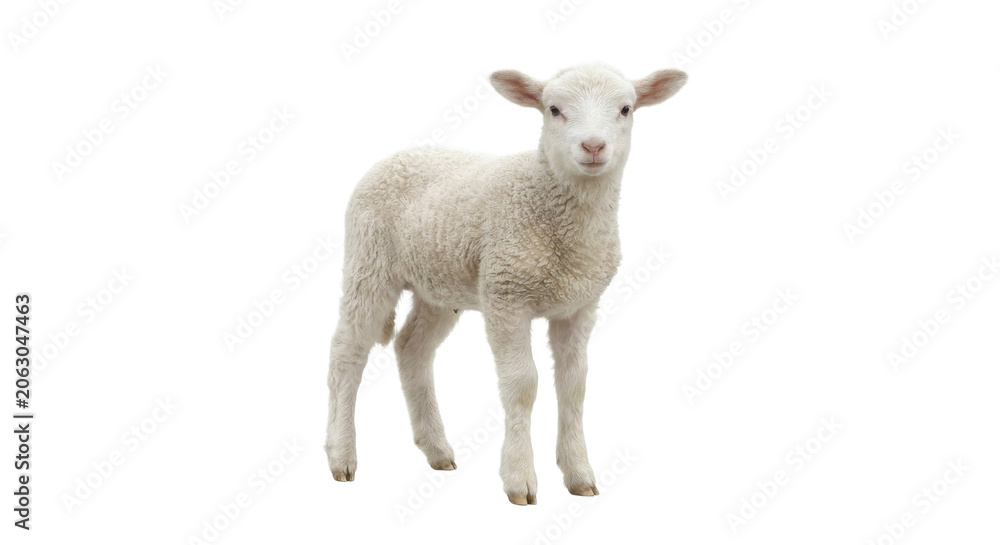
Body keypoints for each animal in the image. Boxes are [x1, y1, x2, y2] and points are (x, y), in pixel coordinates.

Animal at [326, 62, 687, 505]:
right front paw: (519, 480)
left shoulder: (580, 305)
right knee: (347, 352)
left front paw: (579, 474)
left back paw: (437, 450)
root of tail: (401, 155)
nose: (593, 146)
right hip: (369, 261)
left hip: (439, 284)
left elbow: (574, 385)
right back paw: (341, 455)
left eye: (625, 109)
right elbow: (522, 385)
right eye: (553, 109)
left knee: (411, 348)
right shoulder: (507, 295)